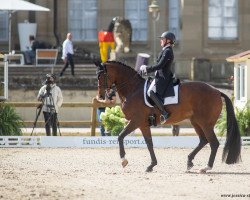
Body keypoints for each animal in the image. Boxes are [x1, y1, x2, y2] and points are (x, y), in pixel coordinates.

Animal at [94, 60, 241, 173]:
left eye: (102, 76)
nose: (101, 96)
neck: (133, 89)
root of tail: (217, 91)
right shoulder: (143, 124)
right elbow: (149, 143)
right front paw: (151, 165)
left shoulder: (136, 121)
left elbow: (120, 136)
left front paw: (124, 160)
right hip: (196, 122)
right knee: (203, 140)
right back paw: (189, 162)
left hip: (205, 123)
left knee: (213, 143)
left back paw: (206, 167)